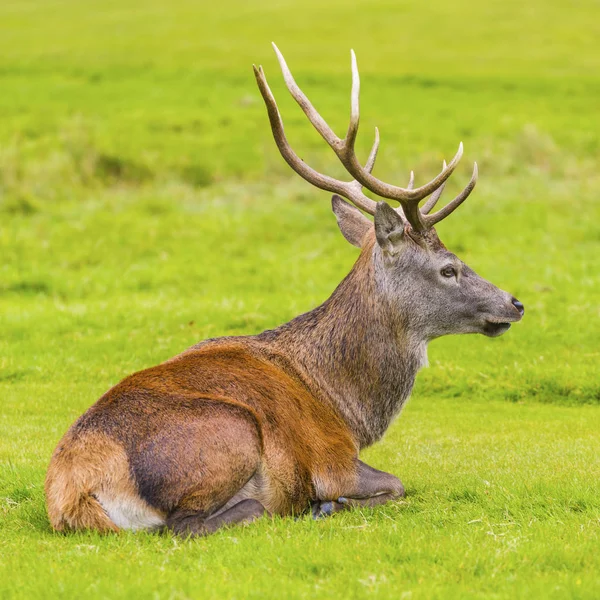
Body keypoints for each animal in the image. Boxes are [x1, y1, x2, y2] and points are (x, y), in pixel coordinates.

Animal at [44, 44, 524, 536]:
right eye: (449, 268)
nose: (515, 303)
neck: (344, 406)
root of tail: (73, 492)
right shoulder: (331, 457)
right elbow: (397, 483)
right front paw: (330, 503)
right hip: (230, 428)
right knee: (187, 524)